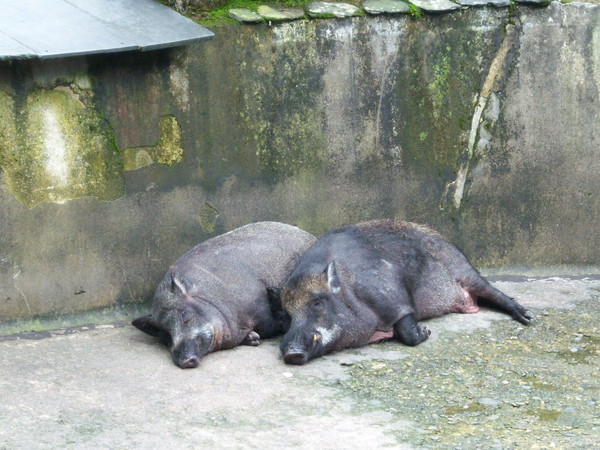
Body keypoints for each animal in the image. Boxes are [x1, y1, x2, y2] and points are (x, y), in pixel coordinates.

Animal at [274, 220, 532, 364]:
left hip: (464, 269)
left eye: (317, 302)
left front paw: (426, 332)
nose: (291, 353)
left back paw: (527, 317)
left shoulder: (394, 298)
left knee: (492, 291)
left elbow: (407, 328)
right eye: (286, 314)